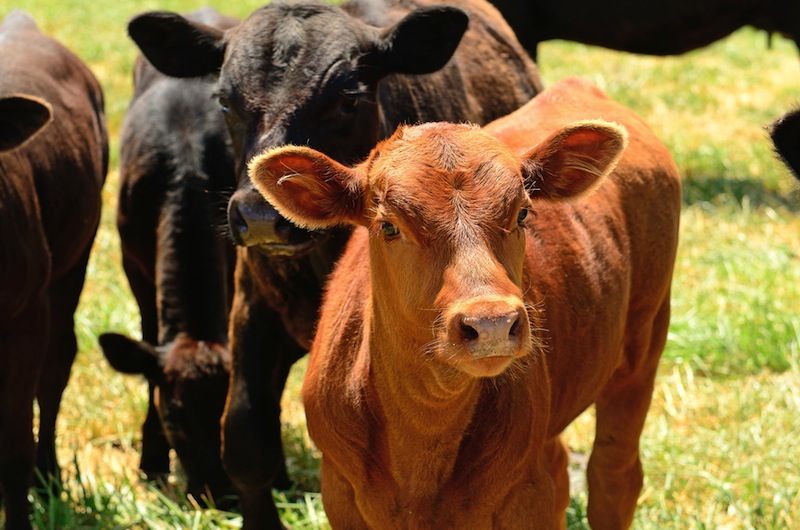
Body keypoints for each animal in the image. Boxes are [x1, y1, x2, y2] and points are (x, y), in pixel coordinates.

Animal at [97, 7, 238, 504]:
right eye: (175, 415)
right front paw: (152, 457)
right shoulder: (132, 264)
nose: (218, 492)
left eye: (224, 410)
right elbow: (147, 342)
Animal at [250, 78, 680, 528]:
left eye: (522, 213)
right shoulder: (338, 489)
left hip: (644, 342)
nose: (491, 324)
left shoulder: (529, 495)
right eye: (389, 226)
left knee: (614, 474)